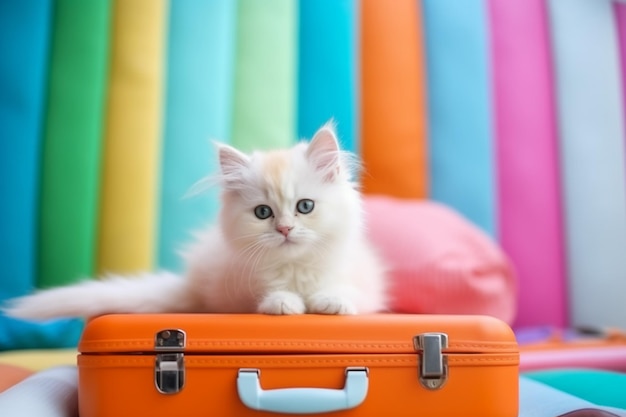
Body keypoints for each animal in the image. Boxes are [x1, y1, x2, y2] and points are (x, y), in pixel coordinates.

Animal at [3, 123, 386, 318]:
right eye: (263, 213)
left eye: (305, 207)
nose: (285, 229)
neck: (294, 270)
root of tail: (191, 285)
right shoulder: (237, 291)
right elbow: (267, 296)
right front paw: (283, 301)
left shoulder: (365, 284)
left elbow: (348, 292)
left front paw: (330, 301)